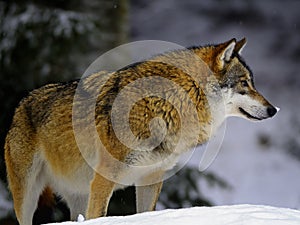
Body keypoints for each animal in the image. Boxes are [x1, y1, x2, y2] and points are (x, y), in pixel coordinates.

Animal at [4, 37, 278, 224]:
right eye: (245, 83)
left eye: (252, 83)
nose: (274, 109)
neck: (172, 101)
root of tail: (21, 104)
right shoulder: (104, 176)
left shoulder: (151, 178)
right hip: (27, 194)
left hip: (78, 194)